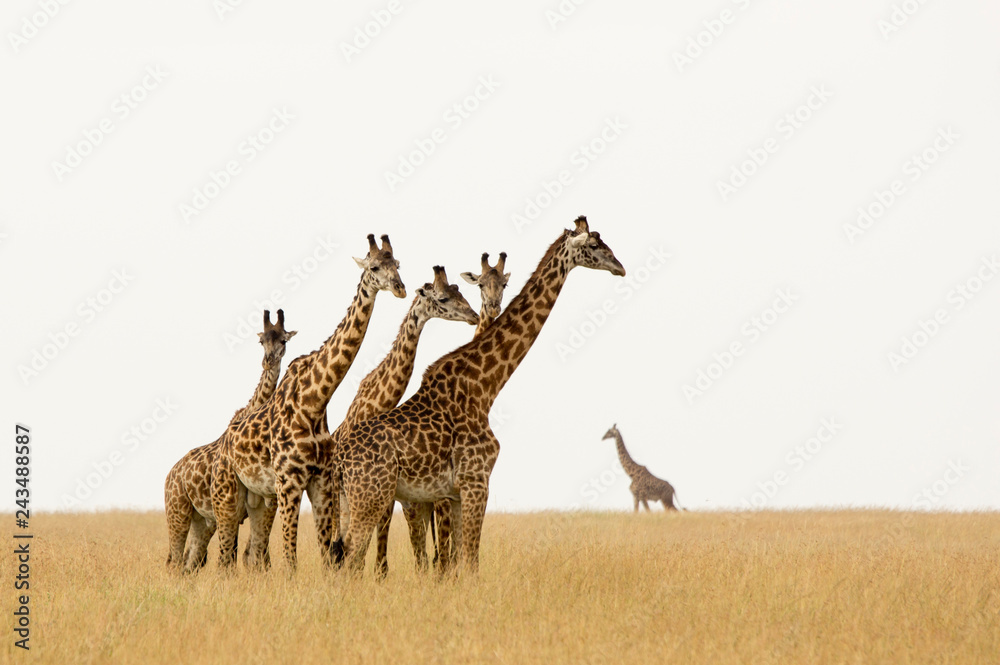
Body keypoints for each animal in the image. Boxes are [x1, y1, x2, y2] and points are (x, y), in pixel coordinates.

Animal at [164, 310, 297, 572]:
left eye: (283, 340)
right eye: (261, 340)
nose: (268, 361)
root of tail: (169, 476)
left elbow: (255, 555)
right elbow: (239, 555)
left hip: (202, 520)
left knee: (189, 561)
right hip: (178, 512)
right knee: (175, 560)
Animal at [211, 234, 406, 571]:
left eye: (398, 263)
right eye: (374, 267)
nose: (400, 287)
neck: (315, 400)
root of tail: (225, 440)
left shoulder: (321, 481)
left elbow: (328, 554)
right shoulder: (289, 481)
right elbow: (291, 559)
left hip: (257, 498)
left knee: (248, 552)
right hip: (230, 491)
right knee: (225, 555)